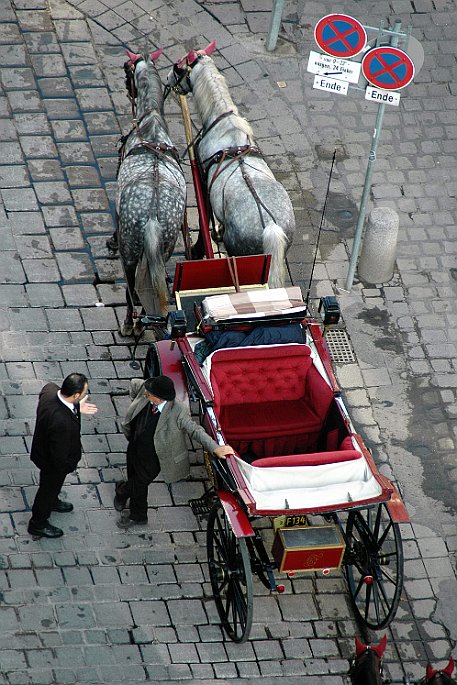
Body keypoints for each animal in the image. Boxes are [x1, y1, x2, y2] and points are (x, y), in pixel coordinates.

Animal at [166, 42, 294, 288]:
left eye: (179, 67)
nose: (168, 79)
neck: (224, 122)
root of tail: (271, 227)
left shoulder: (203, 180)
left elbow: (204, 215)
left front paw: (197, 250)